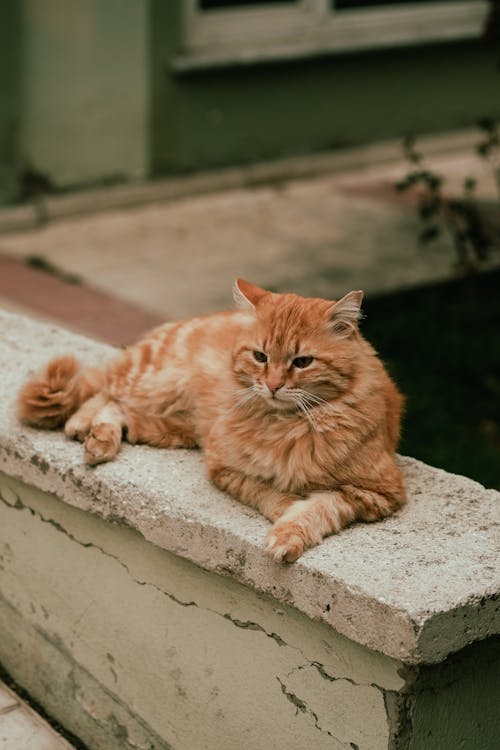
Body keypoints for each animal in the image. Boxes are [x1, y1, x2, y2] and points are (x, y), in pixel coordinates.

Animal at [17, 282, 406, 564]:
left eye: (302, 362)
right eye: (260, 357)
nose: (273, 385)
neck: (287, 425)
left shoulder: (378, 494)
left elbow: (322, 506)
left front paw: (289, 531)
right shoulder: (224, 468)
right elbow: (269, 494)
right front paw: (285, 509)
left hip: (169, 426)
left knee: (120, 409)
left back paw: (101, 437)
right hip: (153, 384)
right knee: (104, 390)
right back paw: (83, 426)